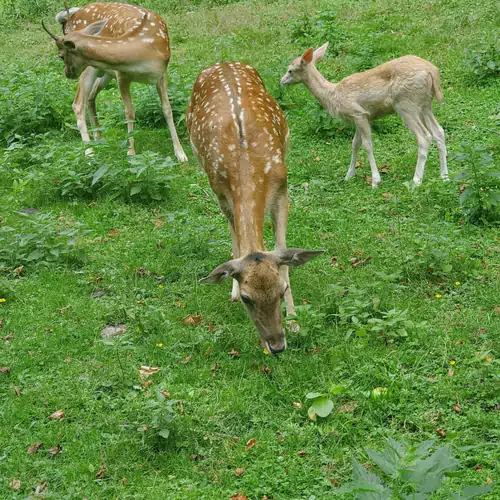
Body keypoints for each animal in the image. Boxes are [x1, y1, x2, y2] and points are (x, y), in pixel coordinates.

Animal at [42, 0, 188, 160]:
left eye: (61, 56)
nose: (67, 73)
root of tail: (74, 14)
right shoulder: (121, 75)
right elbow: (129, 112)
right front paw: (131, 152)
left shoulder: (162, 73)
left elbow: (167, 109)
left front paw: (180, 153)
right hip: (92, 68)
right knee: (78, 103)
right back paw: (89, 151)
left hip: (104, 72)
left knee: (90, 97)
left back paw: (99, 137)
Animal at [188, 61, 324, 352]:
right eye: (248, 298)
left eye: (282, 289)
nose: (277, 345)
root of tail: (223, 62)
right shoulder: (221, 191)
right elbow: (236, 239)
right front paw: (232, 289)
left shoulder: (282, 188)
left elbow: (282, 250)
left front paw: (294, 320)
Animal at [282, 43, 450, 187]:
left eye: (290, 70)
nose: (282, 80)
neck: (333, 95)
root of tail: (432, 72)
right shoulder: (361, 117)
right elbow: (355, 143)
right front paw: (348, 175)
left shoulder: (358, 113)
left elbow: (367, 144)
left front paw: (375, 181)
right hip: (424, 105)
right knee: (439, 131)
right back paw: (444, 176)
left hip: (406, 103)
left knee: (424, 136)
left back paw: (416, 180)